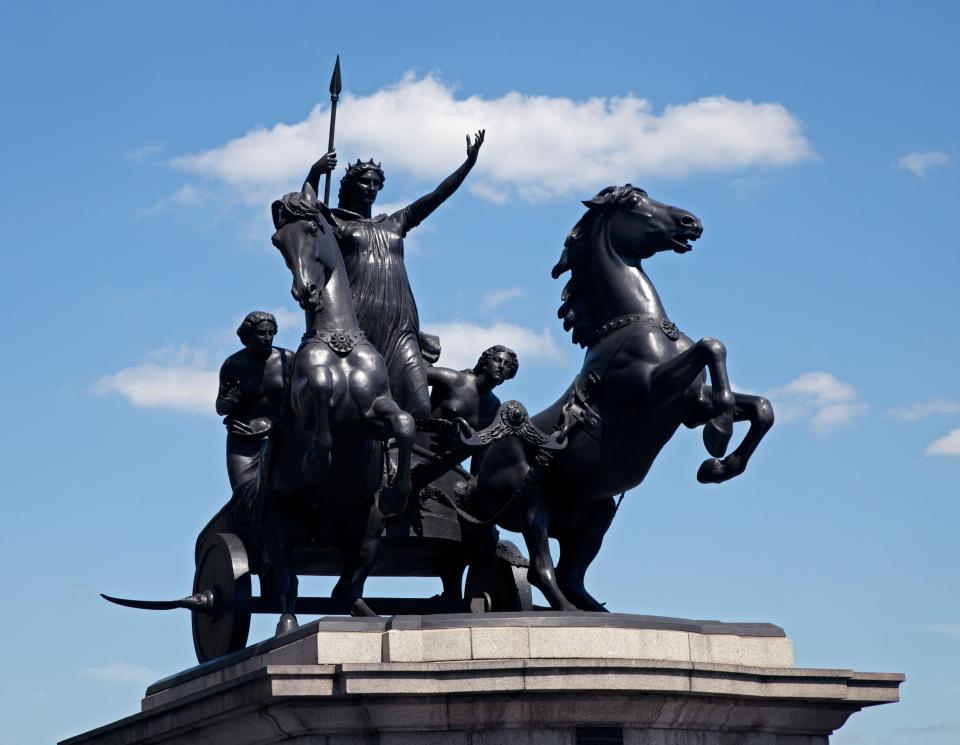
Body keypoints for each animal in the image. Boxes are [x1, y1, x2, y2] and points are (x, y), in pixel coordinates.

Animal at [470, 185, 772, 612]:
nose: (691, 222)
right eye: (633, 203)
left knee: (571, 574)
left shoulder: (691, 405)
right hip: (533, 505)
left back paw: (595, 609)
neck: (635, 324)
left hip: (596, 513)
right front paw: (718, 435)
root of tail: (478, 479)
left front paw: (717, 467)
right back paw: (567, 613)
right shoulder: (651, 389)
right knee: (541, 569)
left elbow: (761, 407)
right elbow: (713, 346)